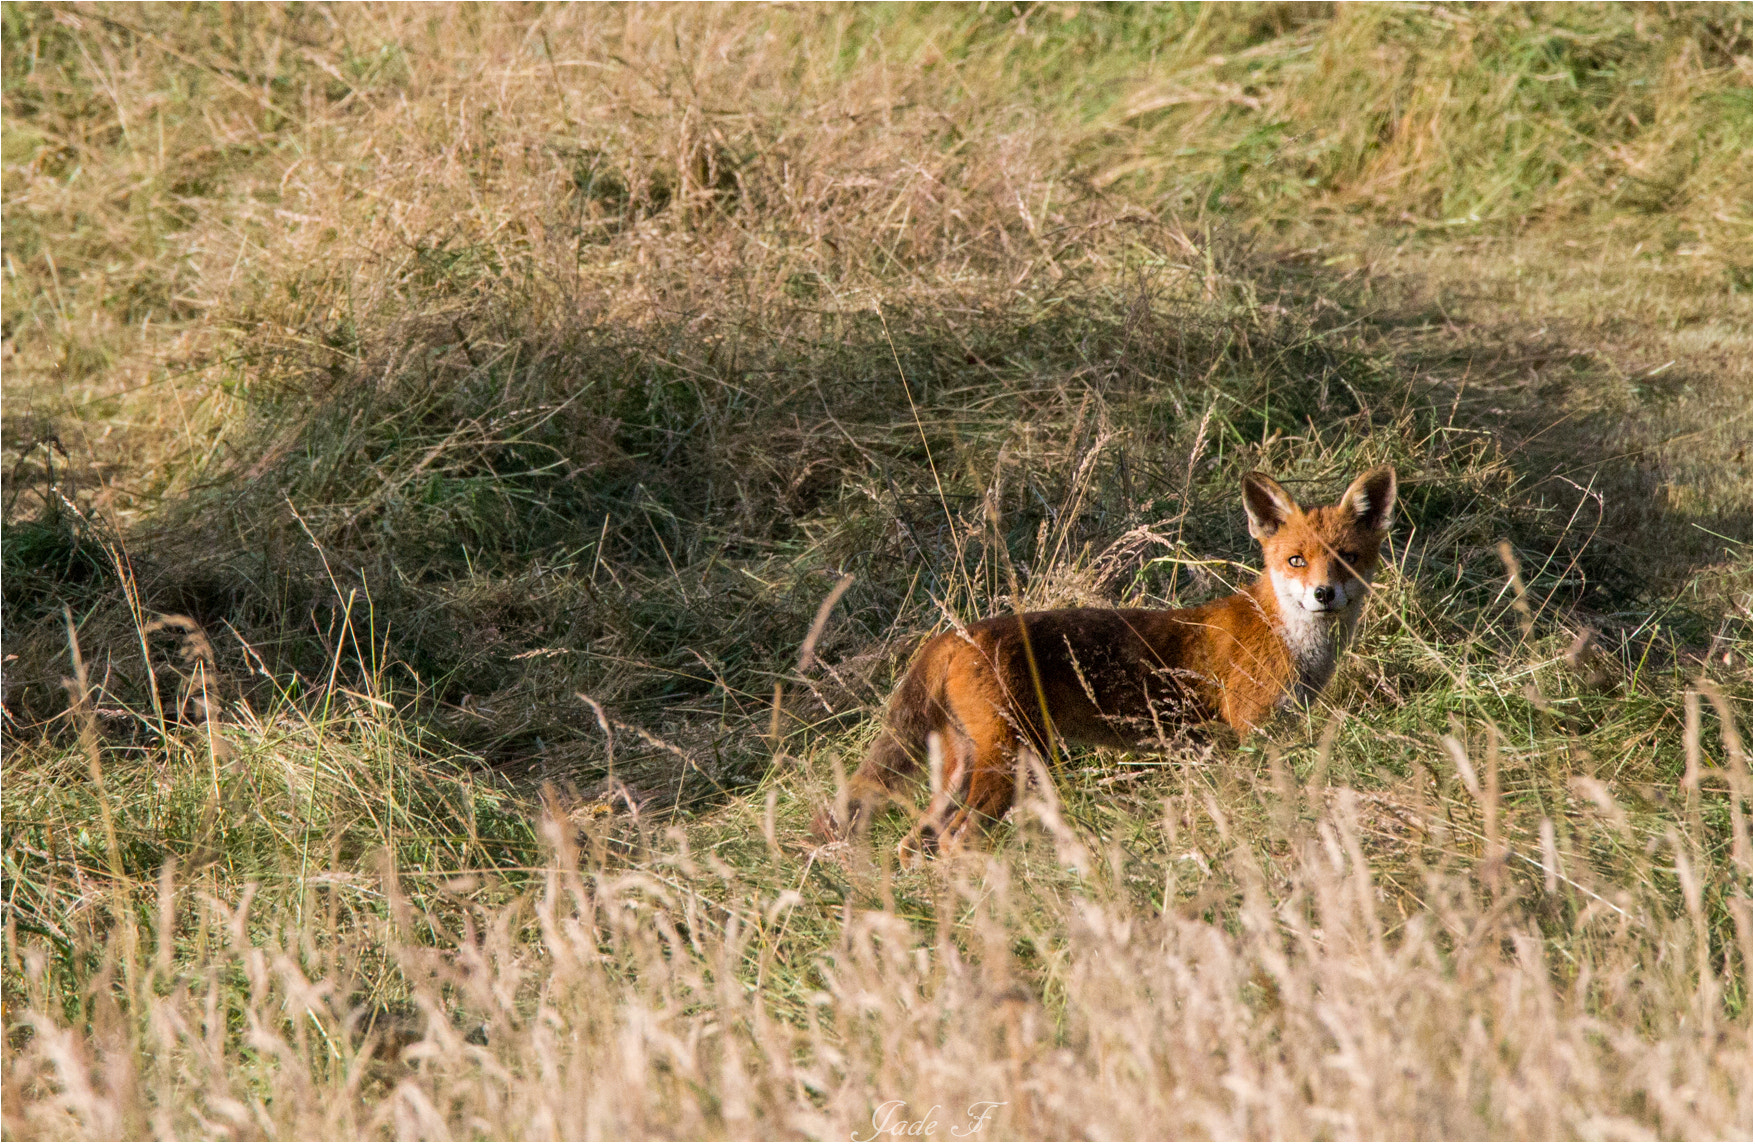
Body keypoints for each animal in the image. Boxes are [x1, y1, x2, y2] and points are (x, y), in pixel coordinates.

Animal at [830, 465, 1397, 861]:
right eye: (1296, 560)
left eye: (1346, 558)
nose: (1324, 594)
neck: (1287, 635)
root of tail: (954, 634)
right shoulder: (1251, 731)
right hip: (1012, 759)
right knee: (954, 840)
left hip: (960, 769)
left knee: (913, 843)